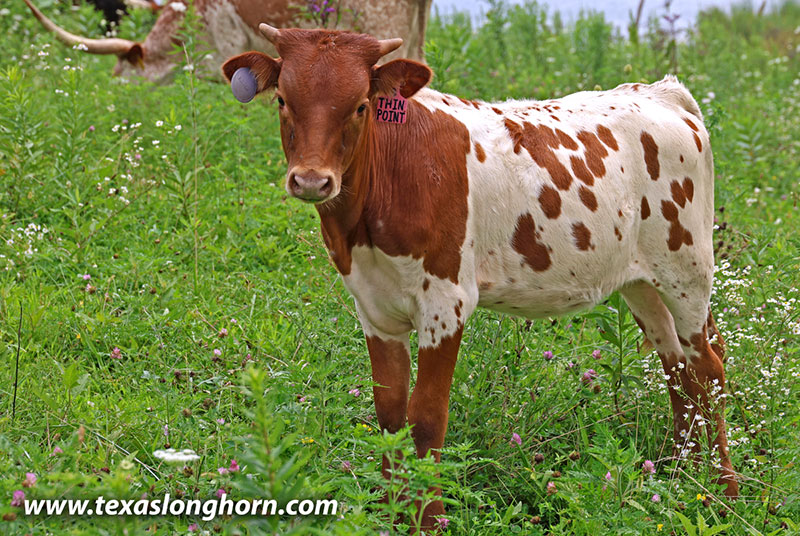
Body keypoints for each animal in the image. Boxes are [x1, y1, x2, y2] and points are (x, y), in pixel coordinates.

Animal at [221, 25, 739, 529]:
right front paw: (392, 514)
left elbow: (426, 418)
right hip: (642, 283)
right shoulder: (373, 306)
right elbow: (390, 415)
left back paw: (723, 494)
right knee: (677, 368)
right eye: (283, 100)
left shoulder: (445, 301)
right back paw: (679, 477)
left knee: (708, 368)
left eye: (361, 105)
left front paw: (429, 520)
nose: (311, 180)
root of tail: (659, 92)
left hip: (686, 270)